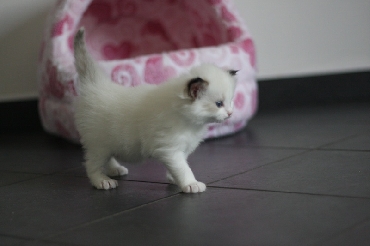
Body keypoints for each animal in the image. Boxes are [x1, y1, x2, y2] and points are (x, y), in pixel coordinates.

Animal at [74, 28, 238, 193]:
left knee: (108, 158)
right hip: (98, 144)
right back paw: (102, 181)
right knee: (91, 165)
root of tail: (96, 85)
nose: (230, 113)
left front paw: (174, 179)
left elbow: (179, 166)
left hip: (108, 143)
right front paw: (191, 184)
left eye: (230, 101)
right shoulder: (170, 149)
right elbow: (183, 168)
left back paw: (115, 169)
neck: (189, 122)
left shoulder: (180, 150)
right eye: (218, 104)